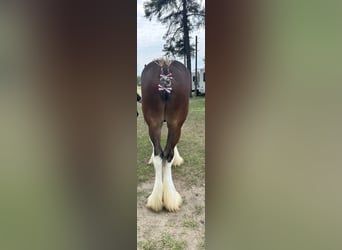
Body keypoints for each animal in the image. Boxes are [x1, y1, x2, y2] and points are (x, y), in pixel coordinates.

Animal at [140, 58, 191, 211]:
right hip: (175, 123)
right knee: (168, 154)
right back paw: (171, 198)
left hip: (154, 122)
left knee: (159, 154)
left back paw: (156, 199)